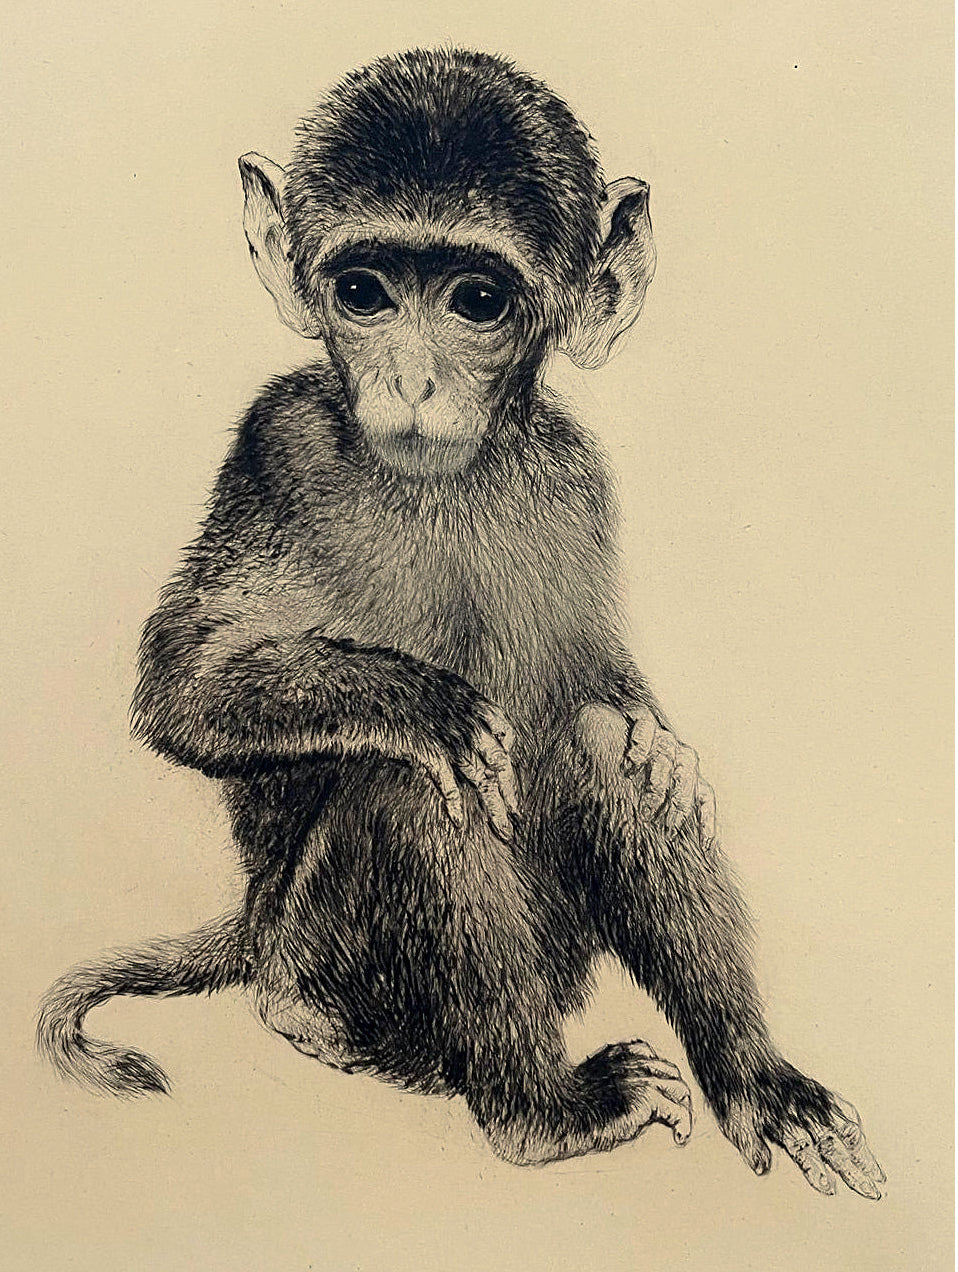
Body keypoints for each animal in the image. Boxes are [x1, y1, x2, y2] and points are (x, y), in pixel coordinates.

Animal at [38, 48, 884, 1197]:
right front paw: (418, 701)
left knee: (600, 752)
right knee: (409, 786)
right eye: (363, 292)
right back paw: (538, 1114)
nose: (412, 379)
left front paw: (662, 746)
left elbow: (599, 692)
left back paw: (752, 1081)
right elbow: (184, 684)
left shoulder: (575, 477)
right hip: (320, 961)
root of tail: (256, 940)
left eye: (476, 301)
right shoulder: (276, 443)